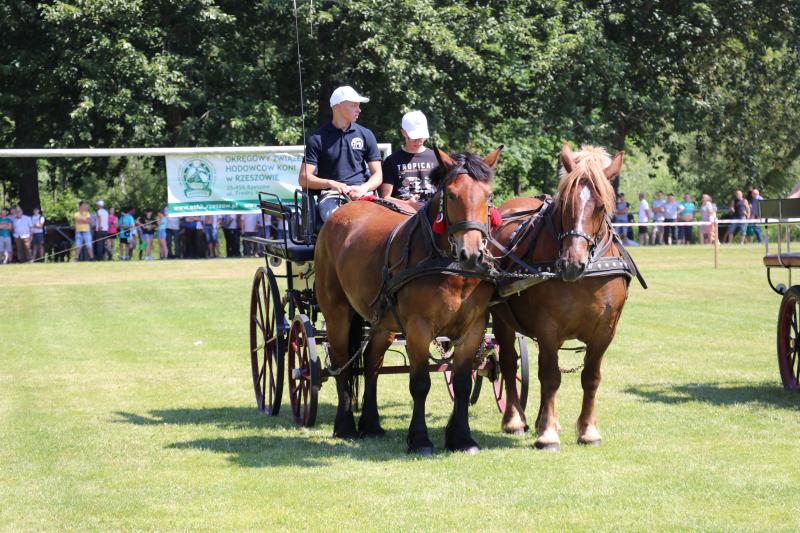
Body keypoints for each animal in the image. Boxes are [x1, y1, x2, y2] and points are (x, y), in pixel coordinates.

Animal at [314, 146, 501, 455]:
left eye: (488, 195)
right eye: (452, 194)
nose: (471, 254)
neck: (450, 266)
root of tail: (346, 208)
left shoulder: (473, 328)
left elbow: (462, 383)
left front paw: (462, 438)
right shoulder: (418, 328)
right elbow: (420, 383)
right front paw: (420, 439)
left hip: (383, 322)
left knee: (372, 363)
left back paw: (371, 425)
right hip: (336, 312)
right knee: (342, 363)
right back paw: (345, 426)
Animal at [490, 142, 636, 451]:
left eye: (601, 206)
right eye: (565, 204)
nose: (571, 264)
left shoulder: (606, 330)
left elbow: (590, 377)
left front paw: (588, 430)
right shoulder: (548, 327)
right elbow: (550, 377)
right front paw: (547, 434)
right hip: (501, 317)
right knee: (508, 361)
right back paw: (515, 420)